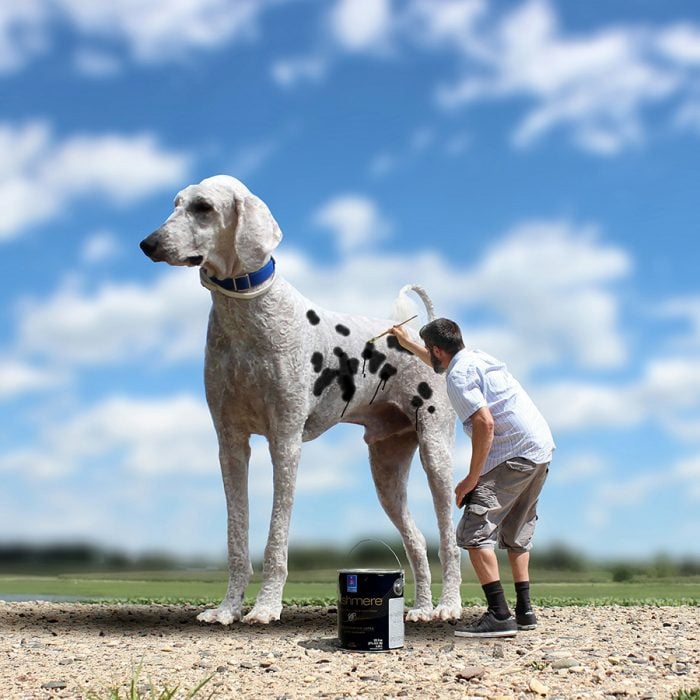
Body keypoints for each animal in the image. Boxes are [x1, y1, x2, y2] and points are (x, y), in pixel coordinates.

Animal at [139, 175, 462, 624]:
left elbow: (276, 539)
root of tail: (417, 335)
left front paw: (265, 607)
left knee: (449, 541)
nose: (148, 243)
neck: (248, 315)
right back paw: (420, 608)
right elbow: (236, 538)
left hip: (436, 455)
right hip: (387, 472)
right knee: (416, 543)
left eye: (203, 207)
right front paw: (227, 609)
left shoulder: (285, 442)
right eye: (176, 203)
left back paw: (449, 606)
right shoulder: (230, 445)